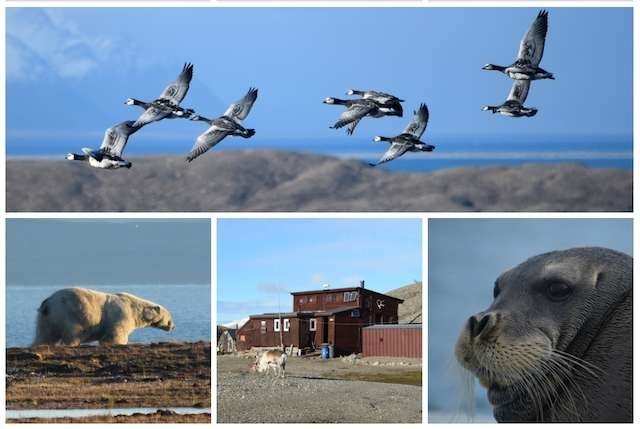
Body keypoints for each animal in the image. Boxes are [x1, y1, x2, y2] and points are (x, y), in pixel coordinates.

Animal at [32, 288, 175, 344]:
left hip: (45, 318)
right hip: (68, 312)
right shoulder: (122, 314)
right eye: (170, 318)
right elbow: (116, 333)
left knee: (44, 335)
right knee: (73, 333)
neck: (134, 307)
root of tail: (48, 302)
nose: (173, 326)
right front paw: (118, 342)